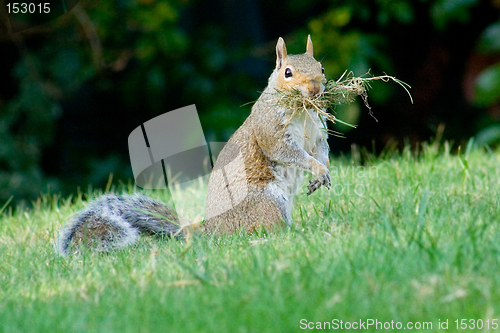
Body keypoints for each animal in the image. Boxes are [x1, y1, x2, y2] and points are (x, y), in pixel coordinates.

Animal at [55, 35, 332, 254]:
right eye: (288, 72)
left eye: (321, 67)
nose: (315, 89)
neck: (302, 112)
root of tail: (212, 230)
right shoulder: (270, 130)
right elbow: (288, 152)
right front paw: (317, 168)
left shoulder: (317, 134)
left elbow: (321, 150)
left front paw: (324, 171)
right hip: (266, 202)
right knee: (264, 228)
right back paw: (291, 234)